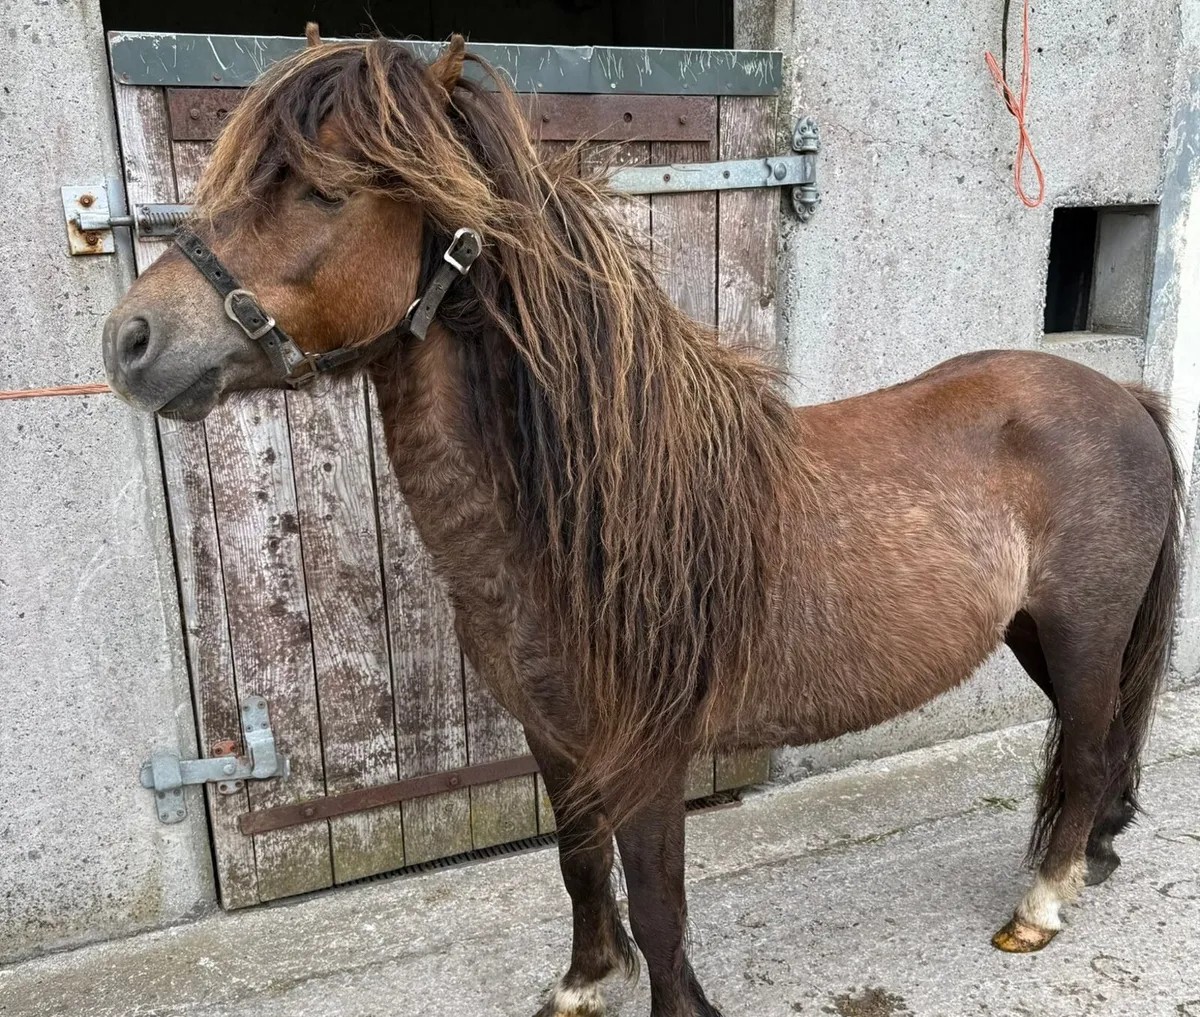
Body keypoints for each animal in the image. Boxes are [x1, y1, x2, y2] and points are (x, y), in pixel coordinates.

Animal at [101, 30, 1183, 1017]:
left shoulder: (648, 754)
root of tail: (1123, 396)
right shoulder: (554, 740)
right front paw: (585, 981)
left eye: (324, 191)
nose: (129, 340)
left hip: (1085, 633)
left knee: (1088, 749)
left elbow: (659, 904)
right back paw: (1093, 856)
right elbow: (580, 863)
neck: (578, 527)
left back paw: (1041, 904)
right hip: (1038, 633)